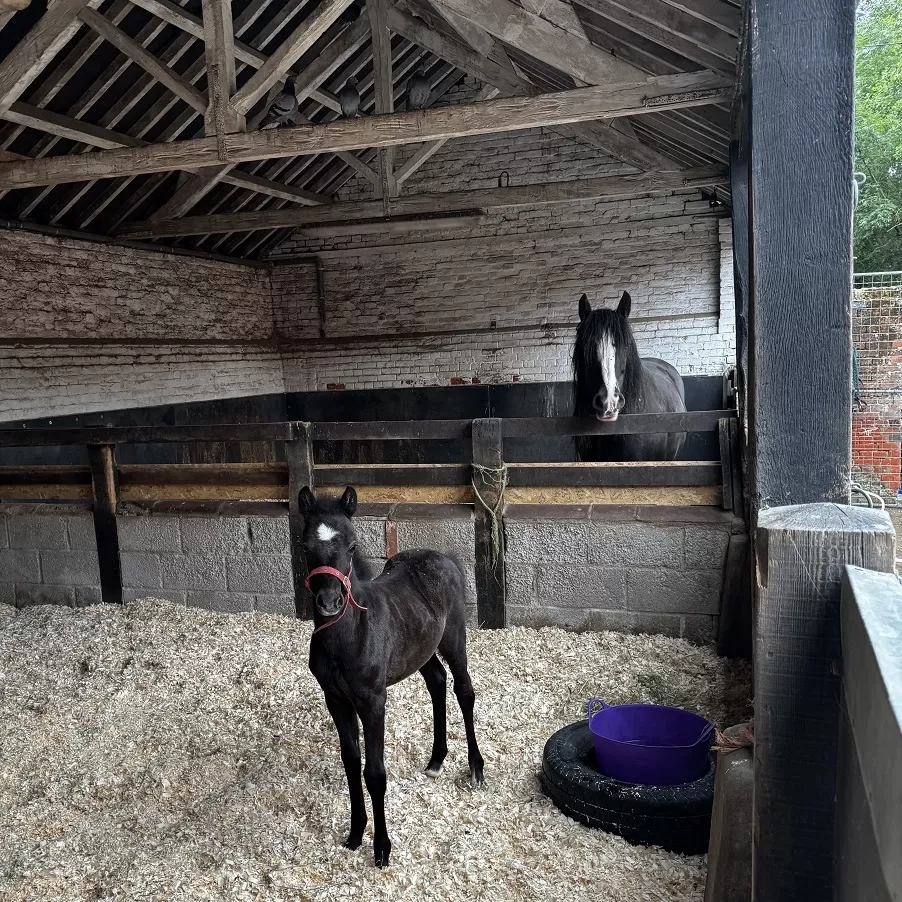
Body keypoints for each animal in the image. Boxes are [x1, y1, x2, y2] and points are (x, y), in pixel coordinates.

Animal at [298, 485, 485, 868]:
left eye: (352, 546)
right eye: (306, 547)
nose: (329, 603)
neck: (348, 637)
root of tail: (445, 557)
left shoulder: (373, 700)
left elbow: (374, 773)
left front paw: (382, 848)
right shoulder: (335, 699)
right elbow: (351, 762)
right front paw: (355, 833)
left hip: (454, 637)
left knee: (464, 689)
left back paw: (475, 767)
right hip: (420, 649)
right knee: (437, 681)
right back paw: (436, 760)